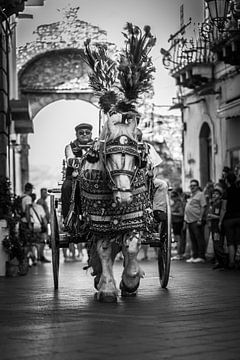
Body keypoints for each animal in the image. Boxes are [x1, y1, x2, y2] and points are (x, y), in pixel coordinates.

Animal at [80, 114, 152, 302]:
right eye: (109, 157)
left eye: (135, 158)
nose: (125, 197)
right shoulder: (99, 221)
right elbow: (104, 252)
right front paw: (107, 289)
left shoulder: (133, 218)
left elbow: (132, 247)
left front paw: (130, 282)